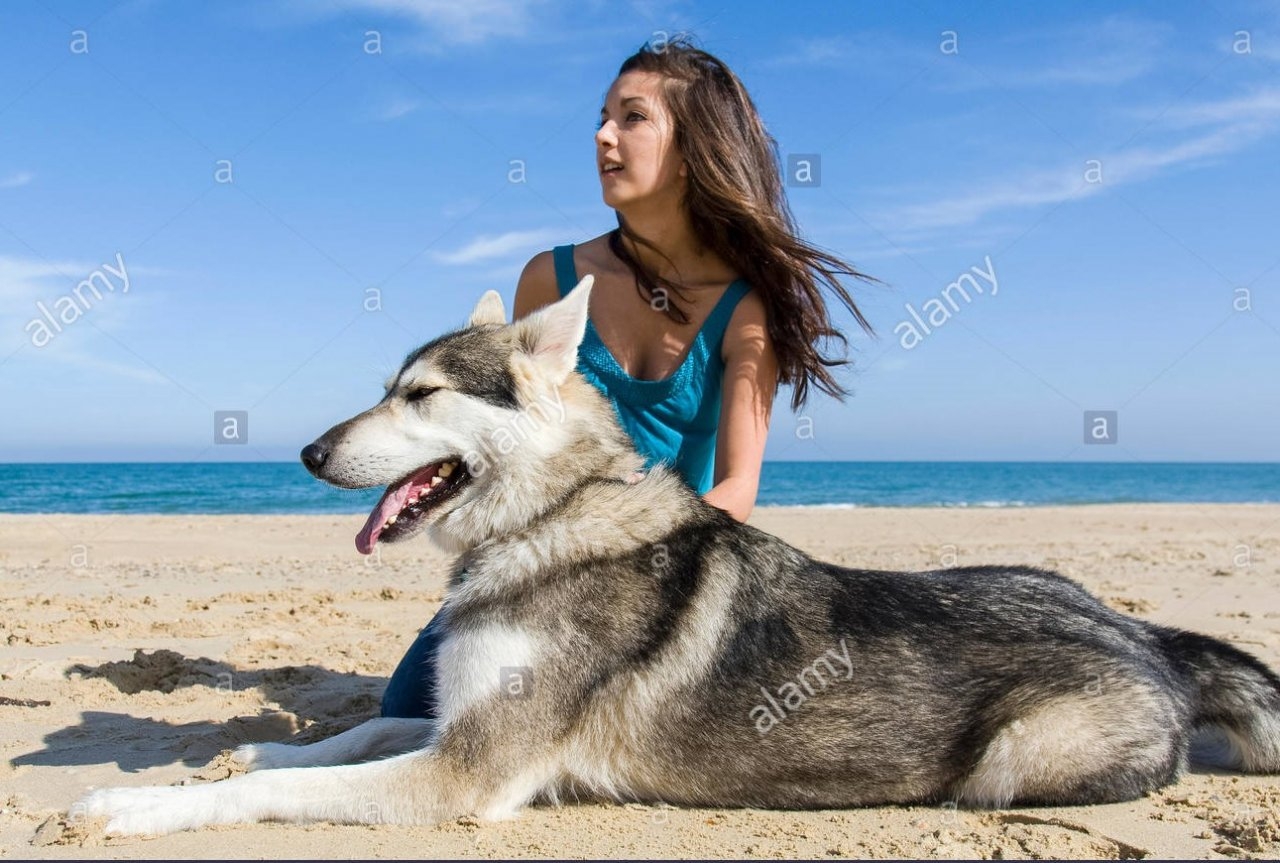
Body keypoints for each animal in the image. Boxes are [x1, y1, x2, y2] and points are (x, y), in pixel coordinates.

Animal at [77, 275, 1280, 834]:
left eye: (419, 395)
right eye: (387, 388)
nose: (307, 449)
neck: (546, 522)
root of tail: (1149, 637)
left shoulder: (468, 772)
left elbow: (288, 791)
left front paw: (141, 809)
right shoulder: (456, 725)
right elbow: (352, 730)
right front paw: (245, 747)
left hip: (1005, 767)